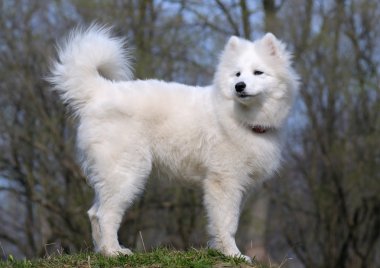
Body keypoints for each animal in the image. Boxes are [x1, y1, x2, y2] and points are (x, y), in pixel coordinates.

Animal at [49, 25, 298, 262]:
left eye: (258, 72)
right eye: (237, 74)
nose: (239, 86)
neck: (243, 120)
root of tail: (100, 91)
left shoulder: (241, 187)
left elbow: (226, 222)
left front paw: (220, 250)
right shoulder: (224, 182)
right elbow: (227, 223)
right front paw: (232, 255)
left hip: (110, 176)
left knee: (93, 213)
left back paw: (103, 251)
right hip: (126, 174)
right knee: (105, 215)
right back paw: (114, 252)